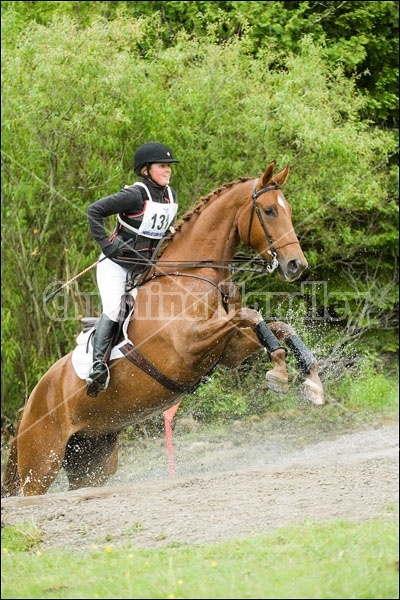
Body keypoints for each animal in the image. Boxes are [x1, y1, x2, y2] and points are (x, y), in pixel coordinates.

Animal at [1, 162, 324, 500]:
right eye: (270, 210)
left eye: (287, 210)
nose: (296, 265)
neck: (191, 276)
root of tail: (30, 403)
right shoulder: (189, 346)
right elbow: (251, 314)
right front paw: (280, 372)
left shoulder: (228, 351)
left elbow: (275, 325)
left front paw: (311, 381)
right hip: (40, 464)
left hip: (92, 458)